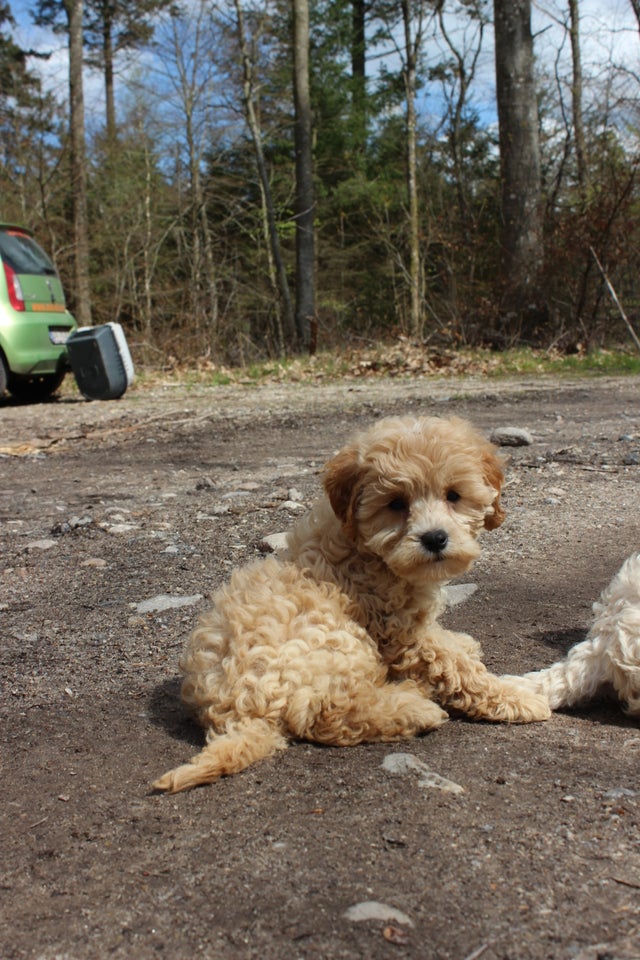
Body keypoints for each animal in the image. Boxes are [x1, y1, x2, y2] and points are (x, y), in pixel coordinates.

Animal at [155, 416, 552, 792]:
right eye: (395, 503)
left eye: (453, 495)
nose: (435, 538)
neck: (370, 551)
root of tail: (239, 715)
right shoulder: (399, 632)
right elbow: (454, 666)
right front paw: (516, 698)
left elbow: (447, 644)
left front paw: (463, 643)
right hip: (333, 638)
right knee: (324, 713)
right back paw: (413, 707)